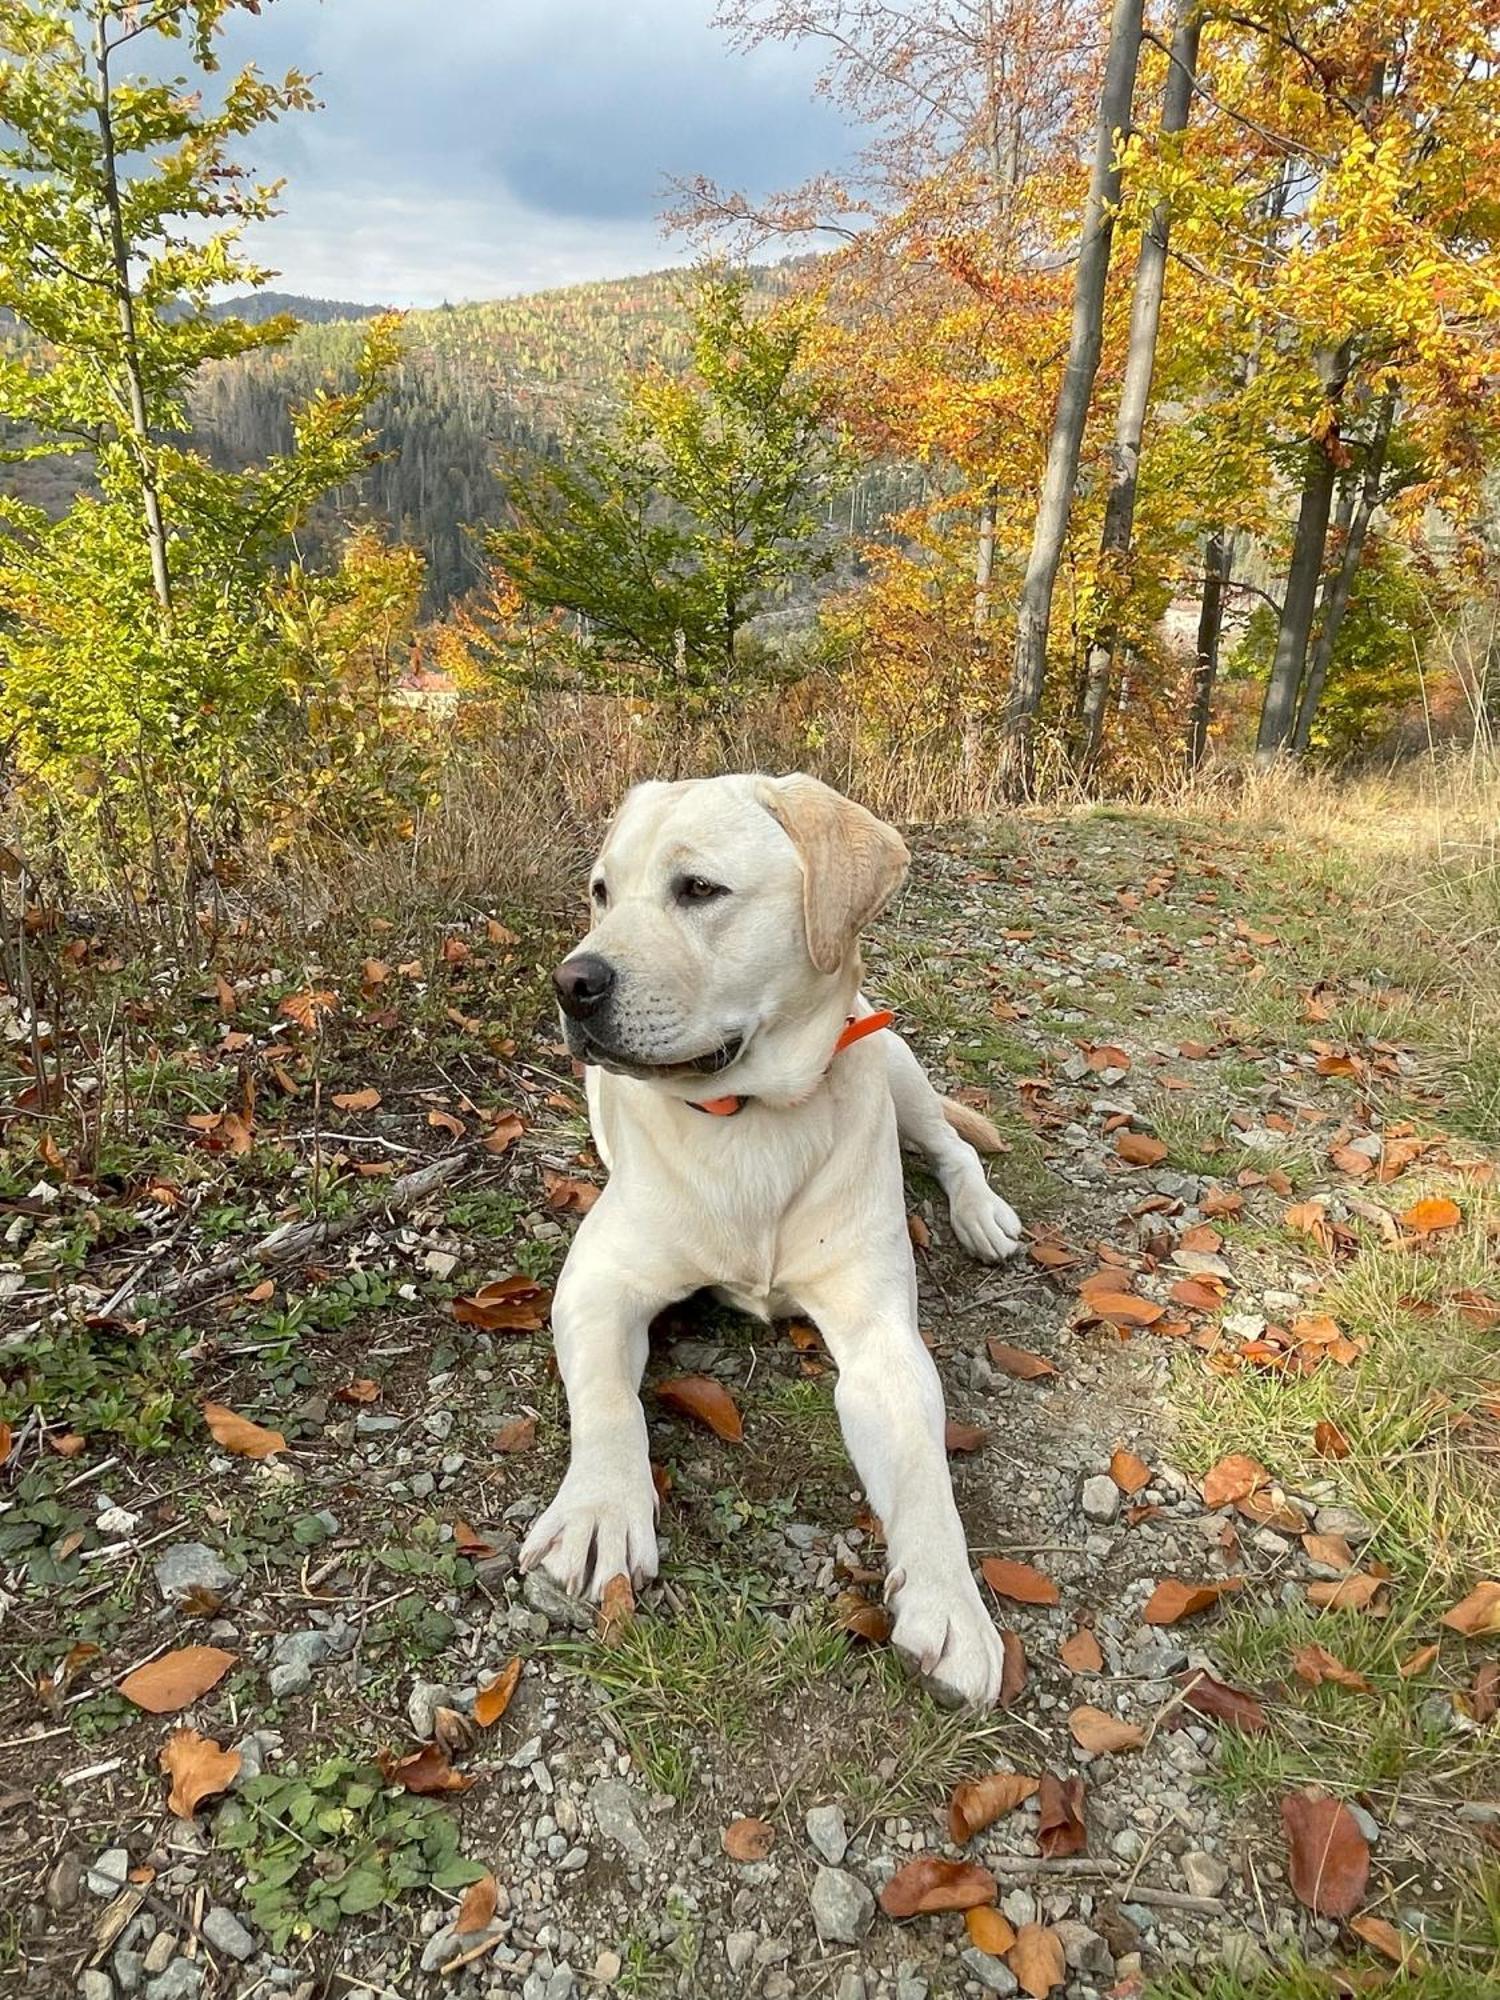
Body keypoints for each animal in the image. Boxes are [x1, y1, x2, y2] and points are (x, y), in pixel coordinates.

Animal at [524, 772, 1032, 1712]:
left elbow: (926, 1472)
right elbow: (610, 1405)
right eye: (601, 892)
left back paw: (981, 1212)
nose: (570, 982)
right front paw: (601, 1510)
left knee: (953, 1144)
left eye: (698, 889)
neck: (746, 1117)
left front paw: (950, 1601)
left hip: (897, 1062)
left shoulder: (882, 1340)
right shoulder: (598, 1284)